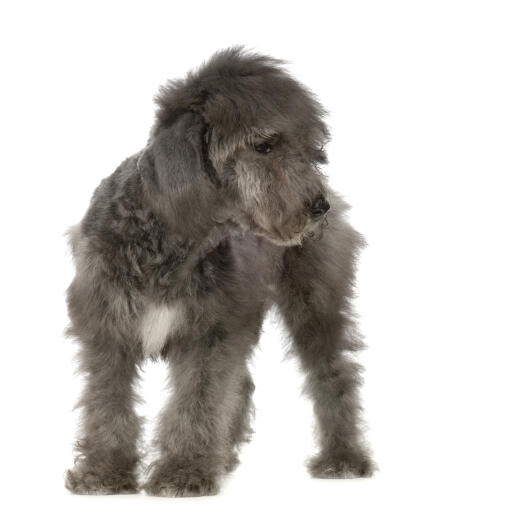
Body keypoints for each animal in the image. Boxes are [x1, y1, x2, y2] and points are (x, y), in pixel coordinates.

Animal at [66, 47, 374, 496]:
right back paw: (225, 454)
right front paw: (104, 472)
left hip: (313, 308)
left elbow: (197, 402)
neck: (168, 238)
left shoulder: (209, 336)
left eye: (311, 147)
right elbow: (108, 403)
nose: (320, 207)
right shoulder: (109, 332)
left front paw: (183, 471)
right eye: (264, 145)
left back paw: (343, 458)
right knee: (243, 384)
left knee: (333, 376)